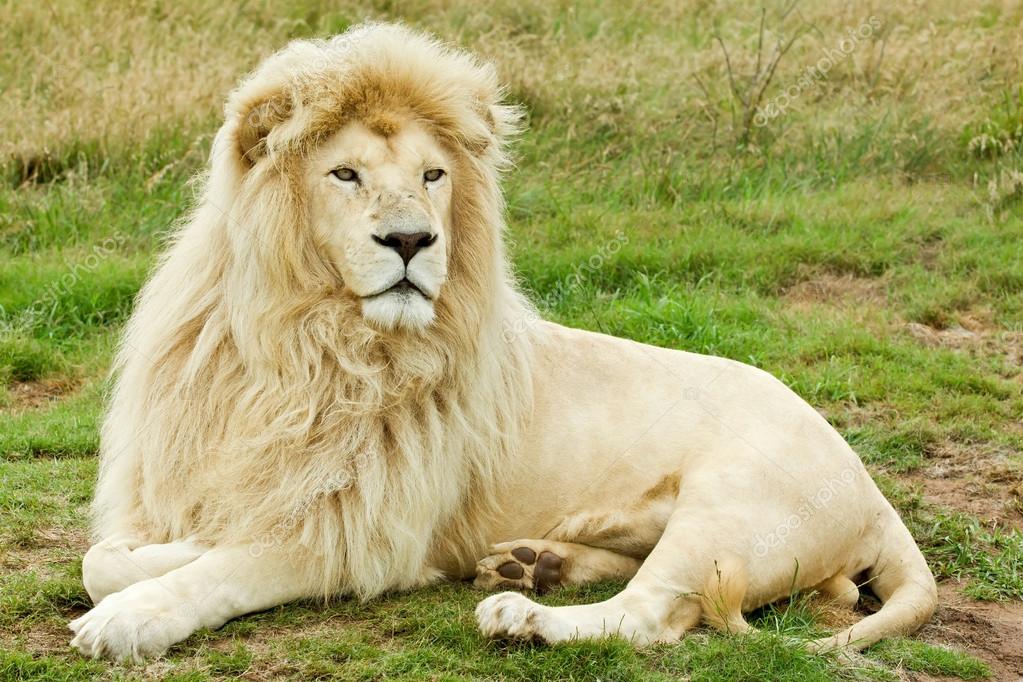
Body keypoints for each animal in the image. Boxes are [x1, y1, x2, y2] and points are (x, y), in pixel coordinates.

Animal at [70, 23, 936, 662]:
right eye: (345, 174)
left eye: (433, 176)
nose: (411, 241)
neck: (305, 345)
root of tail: (872, 491)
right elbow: (105, 557)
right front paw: (145, 566)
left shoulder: (364, 535)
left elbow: (225, 568)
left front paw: (130, 616)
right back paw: (537, 563)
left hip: (729, 506)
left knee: (649, 616)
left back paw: (522, 613)